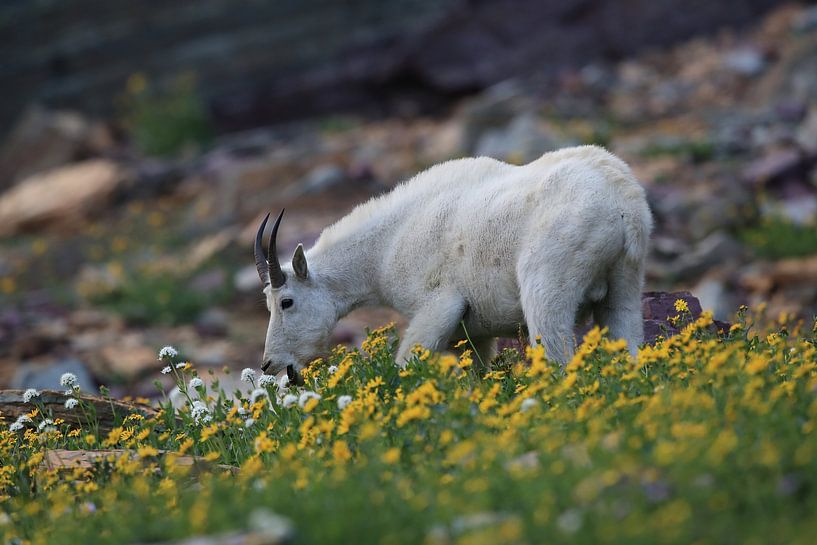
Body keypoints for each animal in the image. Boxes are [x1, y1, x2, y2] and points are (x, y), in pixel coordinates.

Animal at [255, 145, 652, 378]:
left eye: (286, 302)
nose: (270, 364)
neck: (385, 248)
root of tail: (624, 203)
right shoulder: (476, 333)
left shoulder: (440, 304)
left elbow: (408, 360)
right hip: (625, 282)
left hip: (548, 281)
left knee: (557, 351)